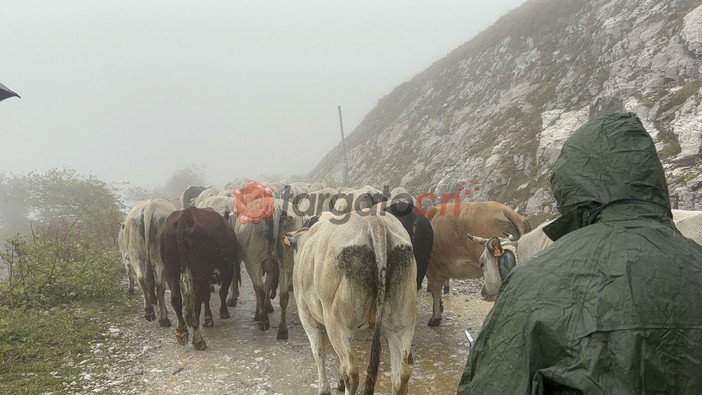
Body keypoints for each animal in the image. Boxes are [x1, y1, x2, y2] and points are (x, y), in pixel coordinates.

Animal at [160, 206, 239, 352]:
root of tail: (186, 215)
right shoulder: (229, 270)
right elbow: (222, 292)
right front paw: (223, 312)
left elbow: (207, 297)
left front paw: (208, 318)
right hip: (201, 272)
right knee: (195, 304)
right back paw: (198, 340)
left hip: (170, 269)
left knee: (176, 299)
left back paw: (181, 332)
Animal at [284, 213, 418, 395]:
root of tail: (374, 220)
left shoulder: (306, 315)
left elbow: (318, 351)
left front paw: (324, 388)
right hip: (401, 324)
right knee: (402, 374)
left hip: (336, 323)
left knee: (352, 372)